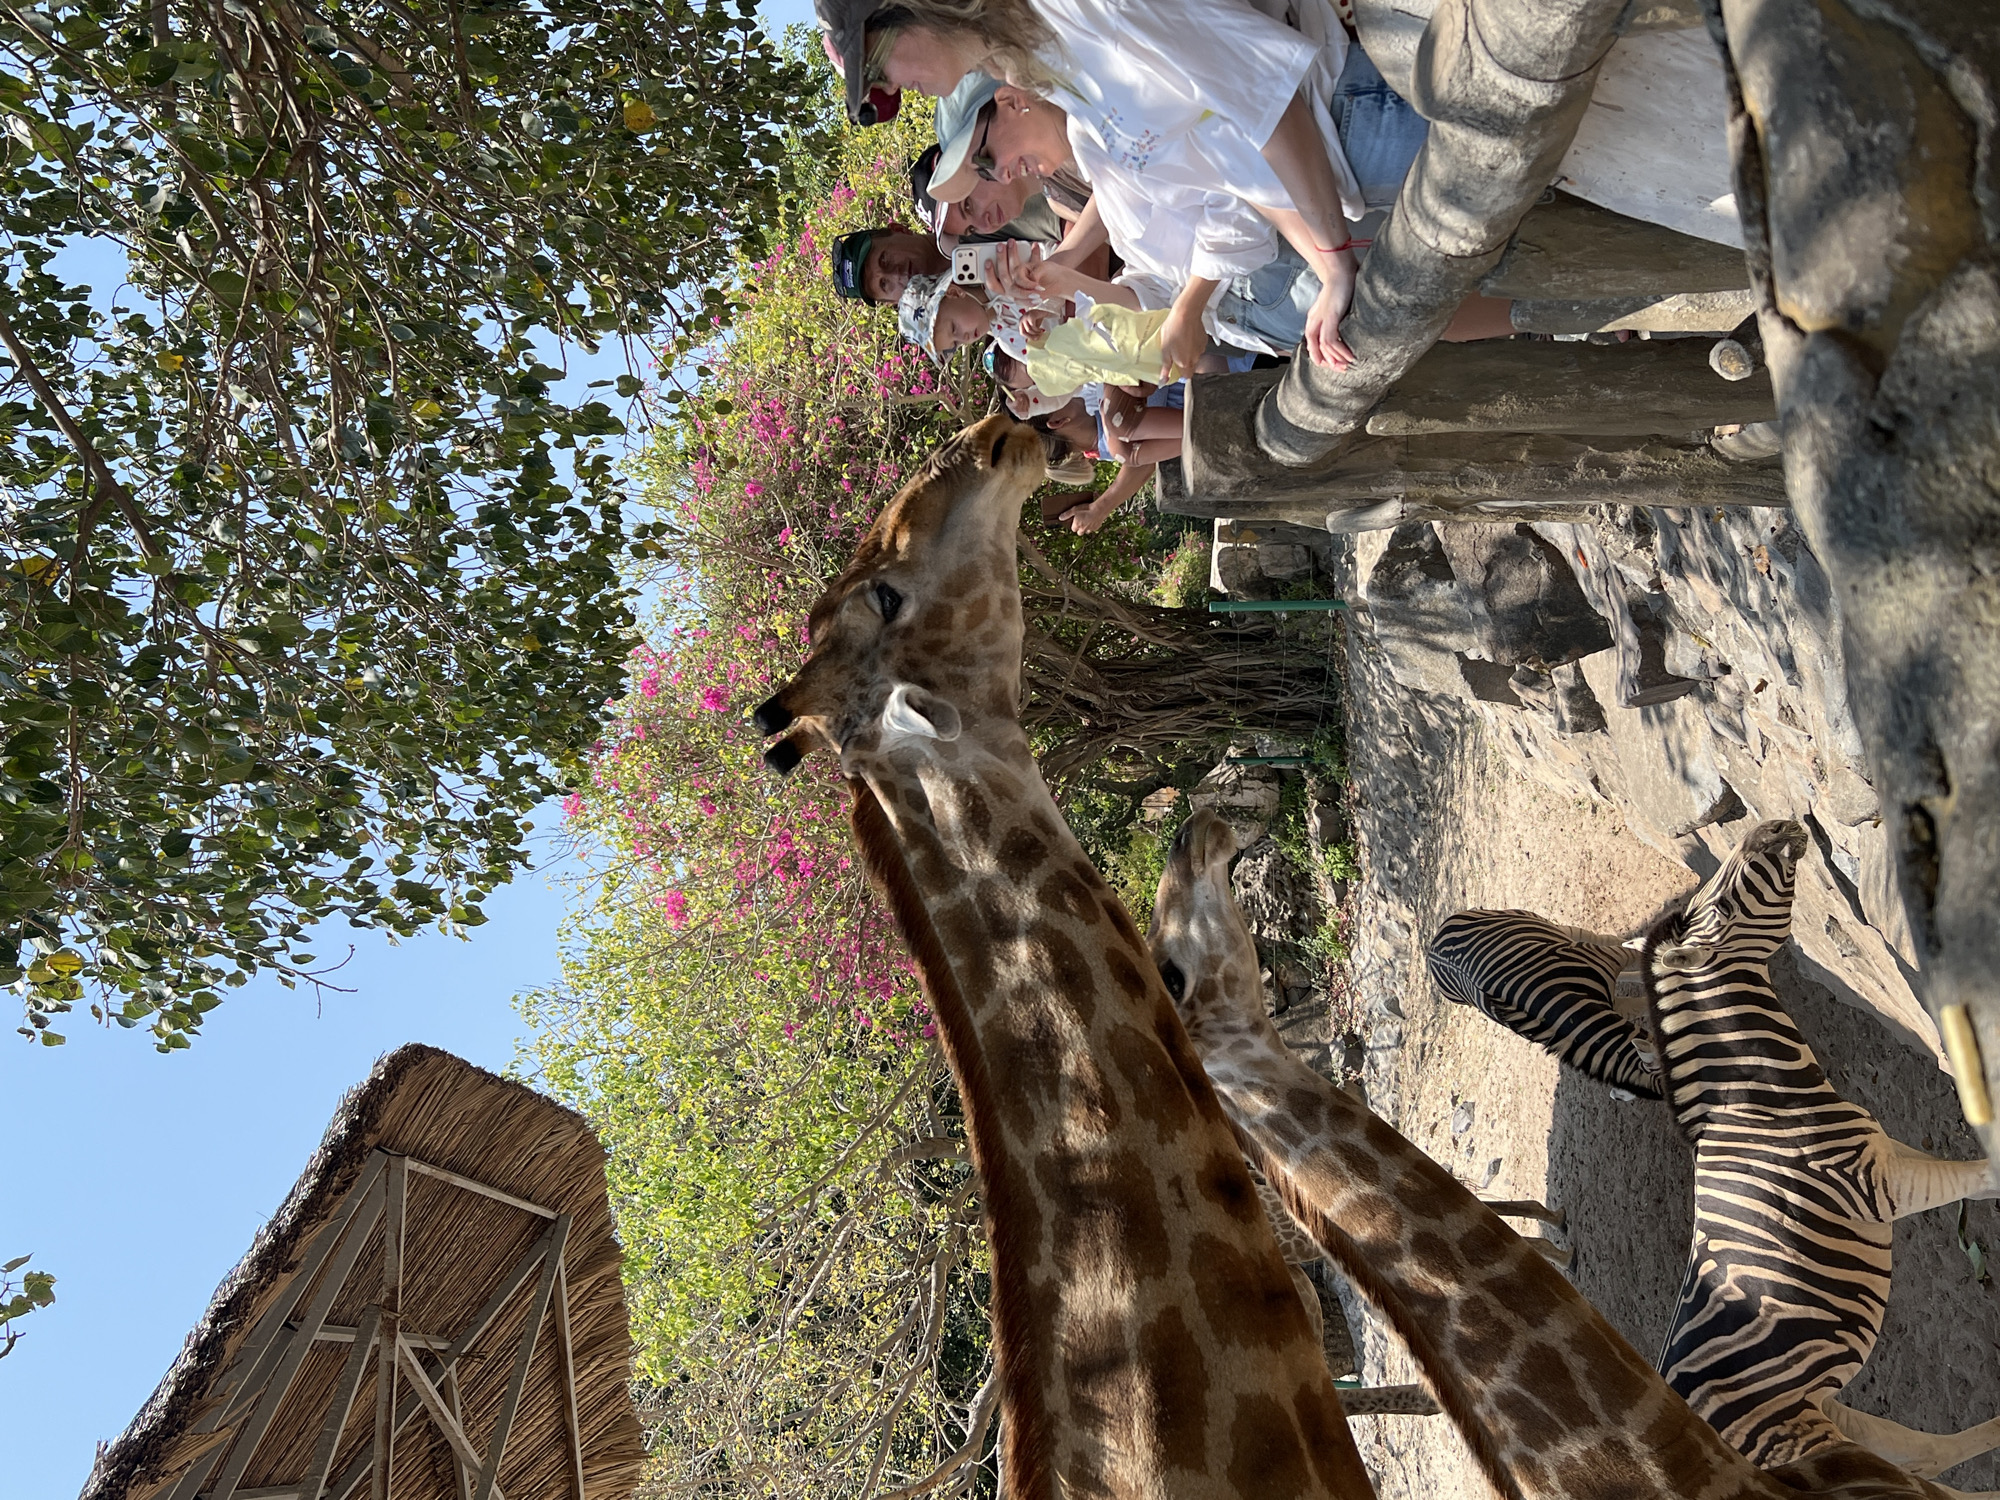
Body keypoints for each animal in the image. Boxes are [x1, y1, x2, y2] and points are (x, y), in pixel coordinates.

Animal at [1427, 906, 1664, 1099]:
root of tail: (1430, 950)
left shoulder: (1609, 958)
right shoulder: (1609, 1005)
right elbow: (1641, 1005)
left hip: (1539, 923)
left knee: (1593, 937)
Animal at [1646, 818, 2000, 1481]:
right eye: (1718, 905)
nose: (1775, 825)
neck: (1766, 1099)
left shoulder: (1887, 1152)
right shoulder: (1876, 1186)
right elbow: (1985, 1175)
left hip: (1826, 1408)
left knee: (1929, 1456)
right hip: (1807, 1436)